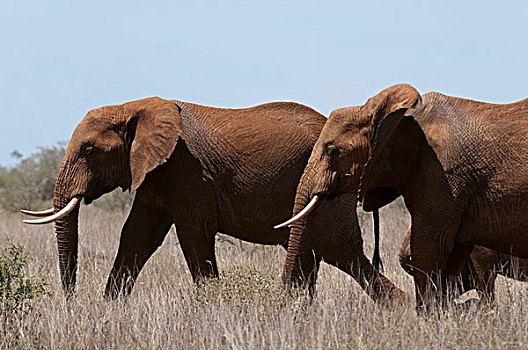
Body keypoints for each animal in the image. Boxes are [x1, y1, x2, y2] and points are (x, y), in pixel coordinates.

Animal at [22, 97, 406, 302]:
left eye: (89, 151)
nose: (71, 302)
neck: (132, 106)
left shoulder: (186, 170)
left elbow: (193, 236)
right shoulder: (155, 174)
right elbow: (136, 237)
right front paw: (108, 310)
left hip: (332, 193)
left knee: (343, 252)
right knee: (320, 254)